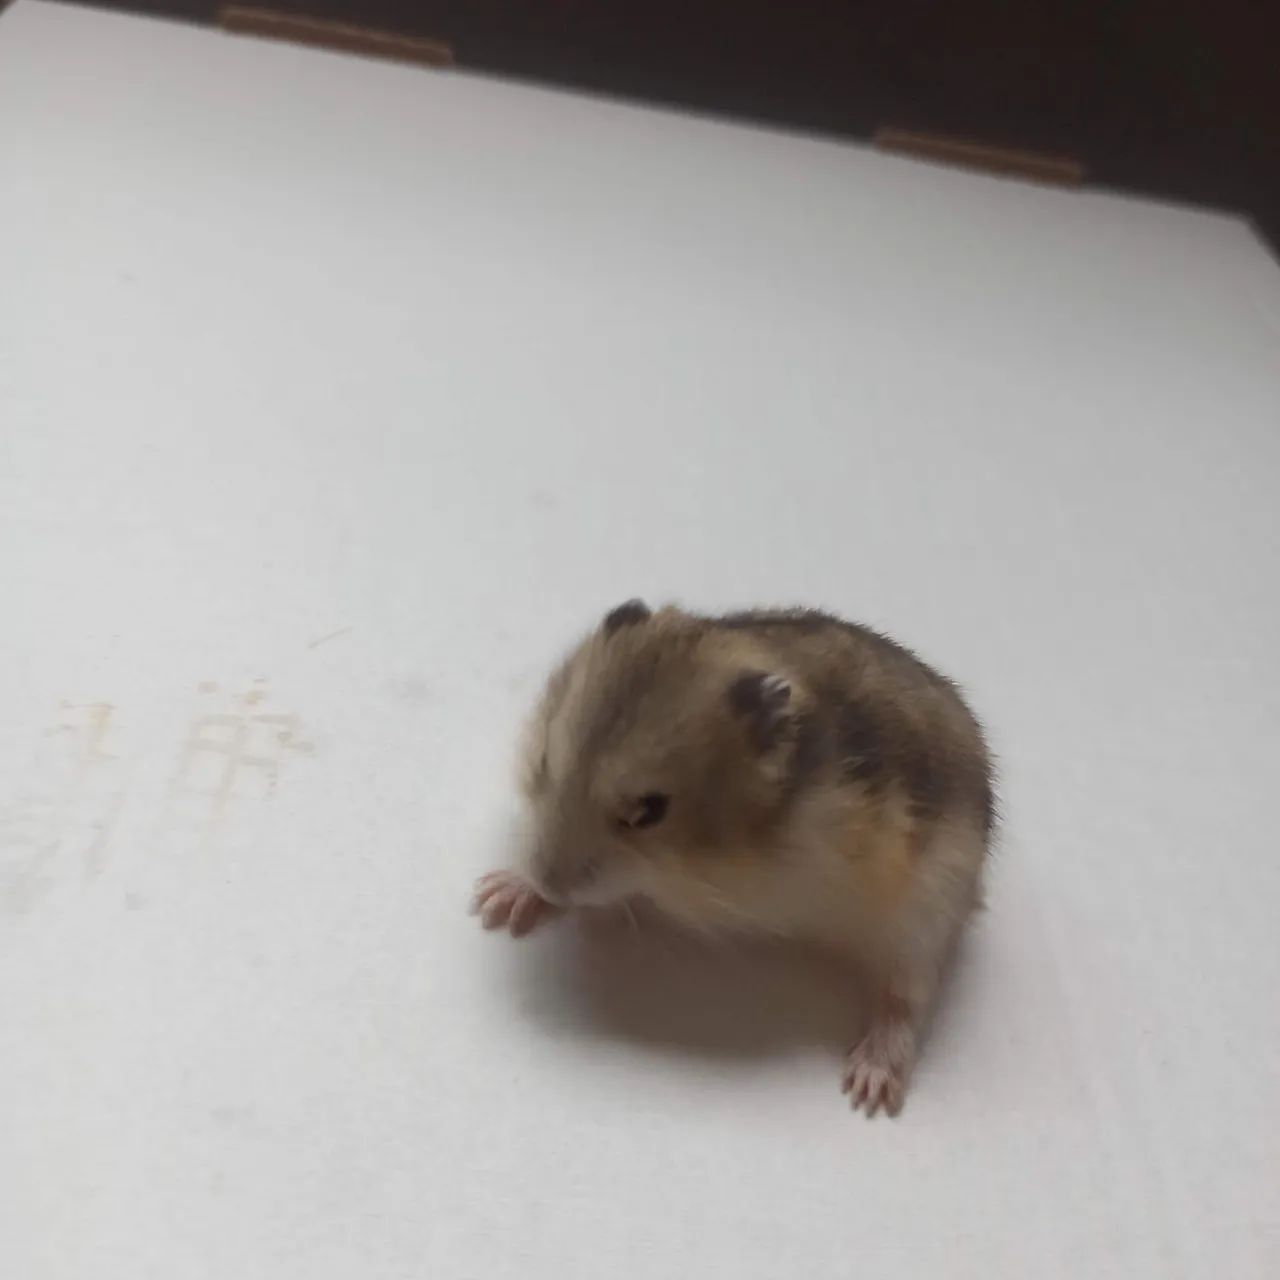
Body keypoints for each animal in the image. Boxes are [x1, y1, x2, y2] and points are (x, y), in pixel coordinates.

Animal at [471, 601, 995, 1116]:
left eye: (649, 811)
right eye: (544, 761)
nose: (547, 882)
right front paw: (493, 902)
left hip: (930, 908)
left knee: (906, 997)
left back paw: (869, 1086)